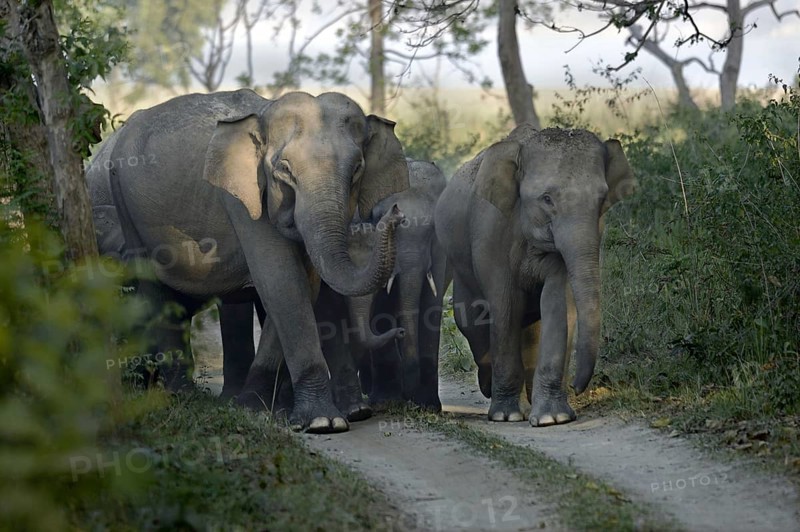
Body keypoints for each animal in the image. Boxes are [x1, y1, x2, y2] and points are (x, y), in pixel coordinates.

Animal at [86, 89, 409, 433]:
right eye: (284, 170)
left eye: (357, 169)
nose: (396, 213)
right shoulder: (243, 198)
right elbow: (281, 280)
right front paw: (320, 422)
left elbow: (301, 286)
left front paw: (263, 409)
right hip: (125, 204)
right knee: (154, 289)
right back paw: (180, 396)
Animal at [434, 125, 635, 426]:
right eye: (547, 199)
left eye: (601, 200)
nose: (576, 386)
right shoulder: (490, 232)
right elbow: (505, 306)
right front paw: (505, 416)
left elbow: (557, 301)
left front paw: (554, 418)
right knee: (471, 320)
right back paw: (492, 389)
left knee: (529, 327)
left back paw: (528, 401)